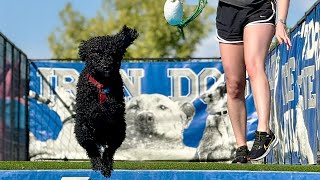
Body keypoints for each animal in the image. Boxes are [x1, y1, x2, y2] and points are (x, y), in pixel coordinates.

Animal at [75, 25, 139, 177]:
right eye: (97, 53)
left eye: (113, 54)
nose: (106, 66)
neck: (101, 84)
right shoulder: (85, 112)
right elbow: (93, 111)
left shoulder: (116, 109)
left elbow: (110, 109)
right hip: (83, 130)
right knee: (92, 148)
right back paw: (98, 164)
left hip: (119, 130)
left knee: (109, 151)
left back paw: (106, 166)